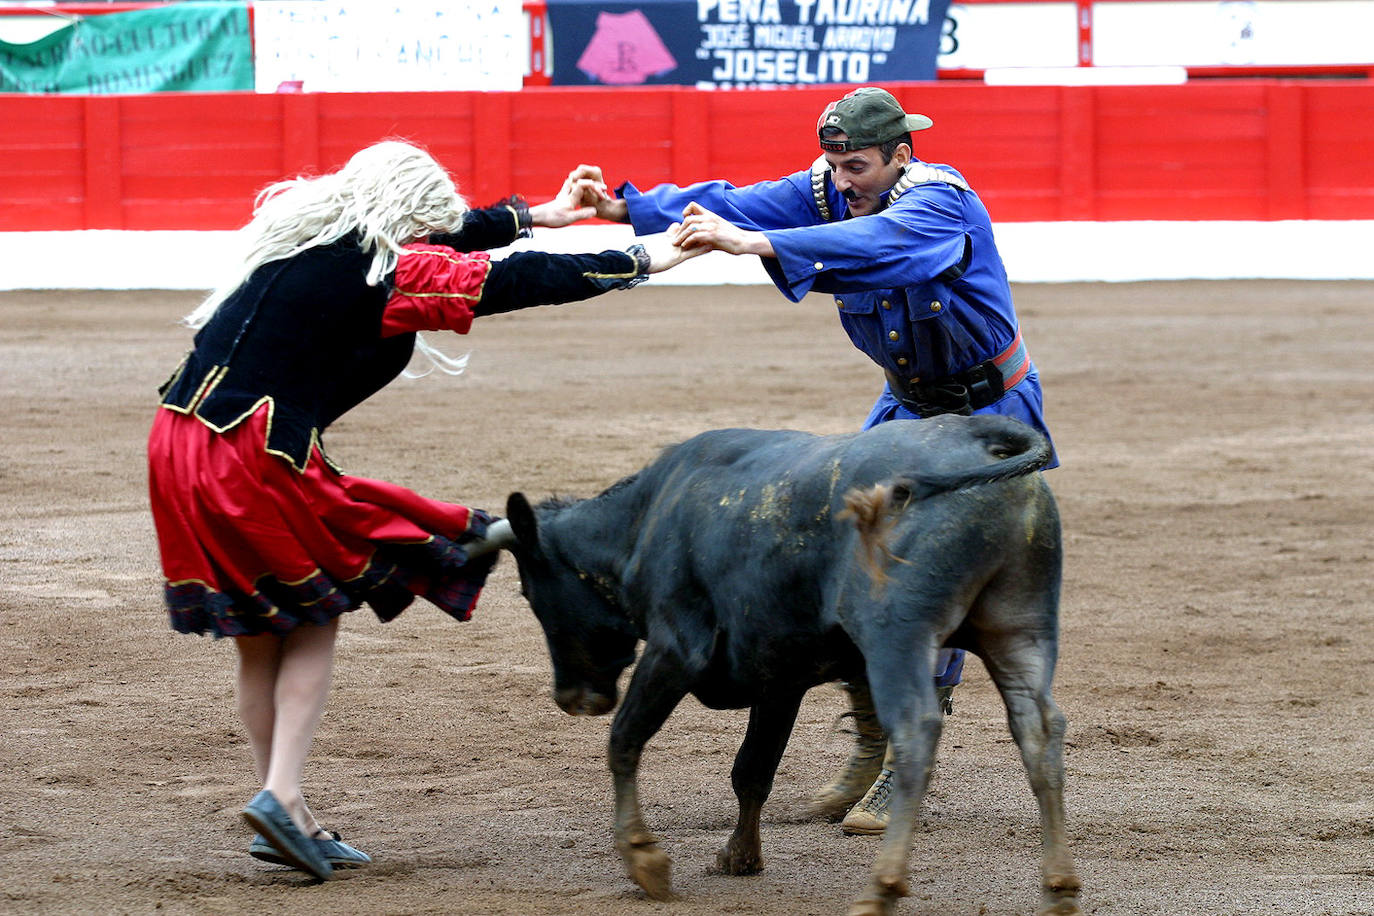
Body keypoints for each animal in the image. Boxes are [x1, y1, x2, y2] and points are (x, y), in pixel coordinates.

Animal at [505, 417, 1082, 916]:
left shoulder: (674, 647)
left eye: (529, 591)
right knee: (1039, 732)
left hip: (897, 636)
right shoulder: (778, 679)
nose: (570, 697)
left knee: (917, 732)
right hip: (1020, 629)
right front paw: (740, 856)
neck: (646, 517)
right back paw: (1059, 891)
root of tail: (977, 436)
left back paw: (881, 889)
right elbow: (753, 770)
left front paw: (642, 857)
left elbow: (625, 739)